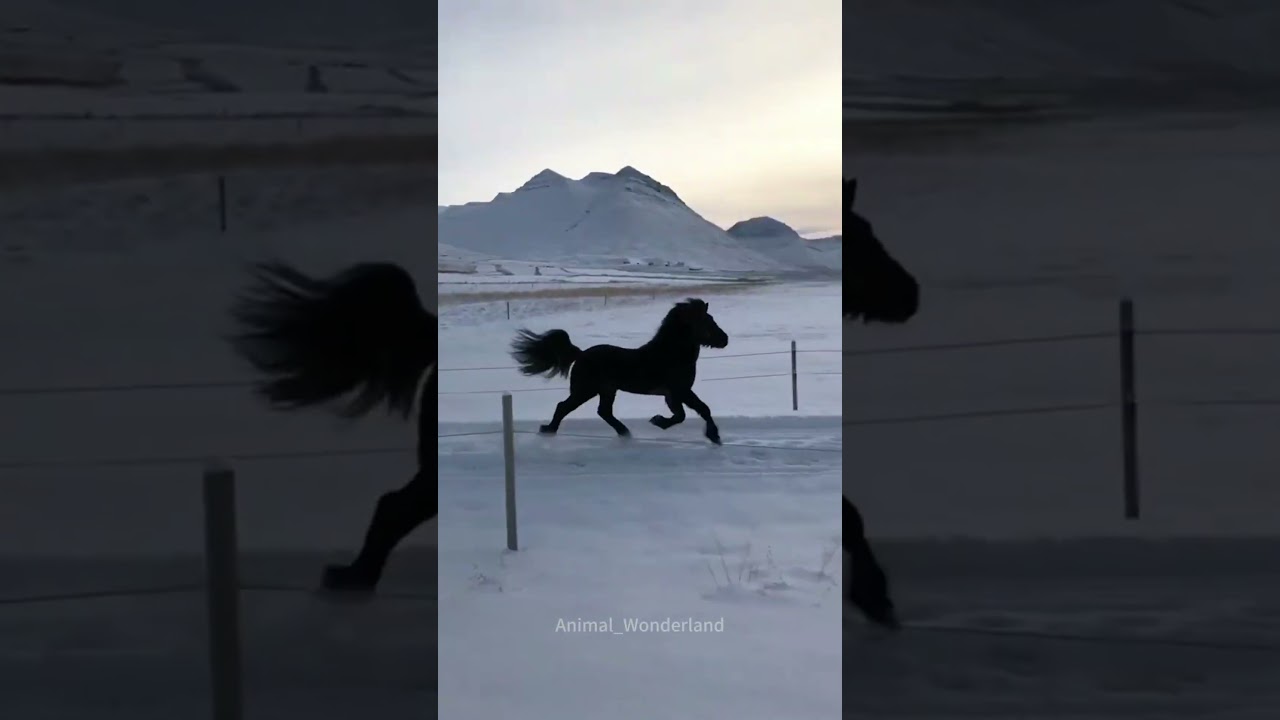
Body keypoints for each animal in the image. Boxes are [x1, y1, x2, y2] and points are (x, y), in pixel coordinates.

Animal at [509, 298, 730, 445]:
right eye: (707, 321)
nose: (725, 339)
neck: (670, 354)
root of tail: (580, 354)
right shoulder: (679, 391)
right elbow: (697, 411)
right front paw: (713, 436)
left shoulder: (673, 394)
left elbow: (686, 413)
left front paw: (659, 421)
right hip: (586, 390)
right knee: (564, 406)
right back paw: (548, 429)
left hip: (606, 390)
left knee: (603, 412)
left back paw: (624, 432)